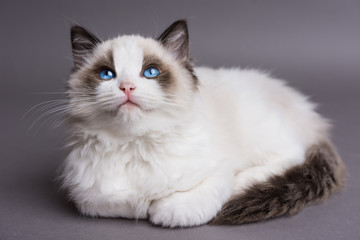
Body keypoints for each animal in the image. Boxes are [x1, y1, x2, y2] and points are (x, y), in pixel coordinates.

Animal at [60, 19, 348, 227]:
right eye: (107, 74)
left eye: (150, 72)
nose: (127, 87)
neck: (133, 143)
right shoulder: (89, 198)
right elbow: (125, 205)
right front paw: (144, 207)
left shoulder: (217, 171)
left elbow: (175, 207)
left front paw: (158, 209)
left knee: (293, 155)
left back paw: (243, 182)